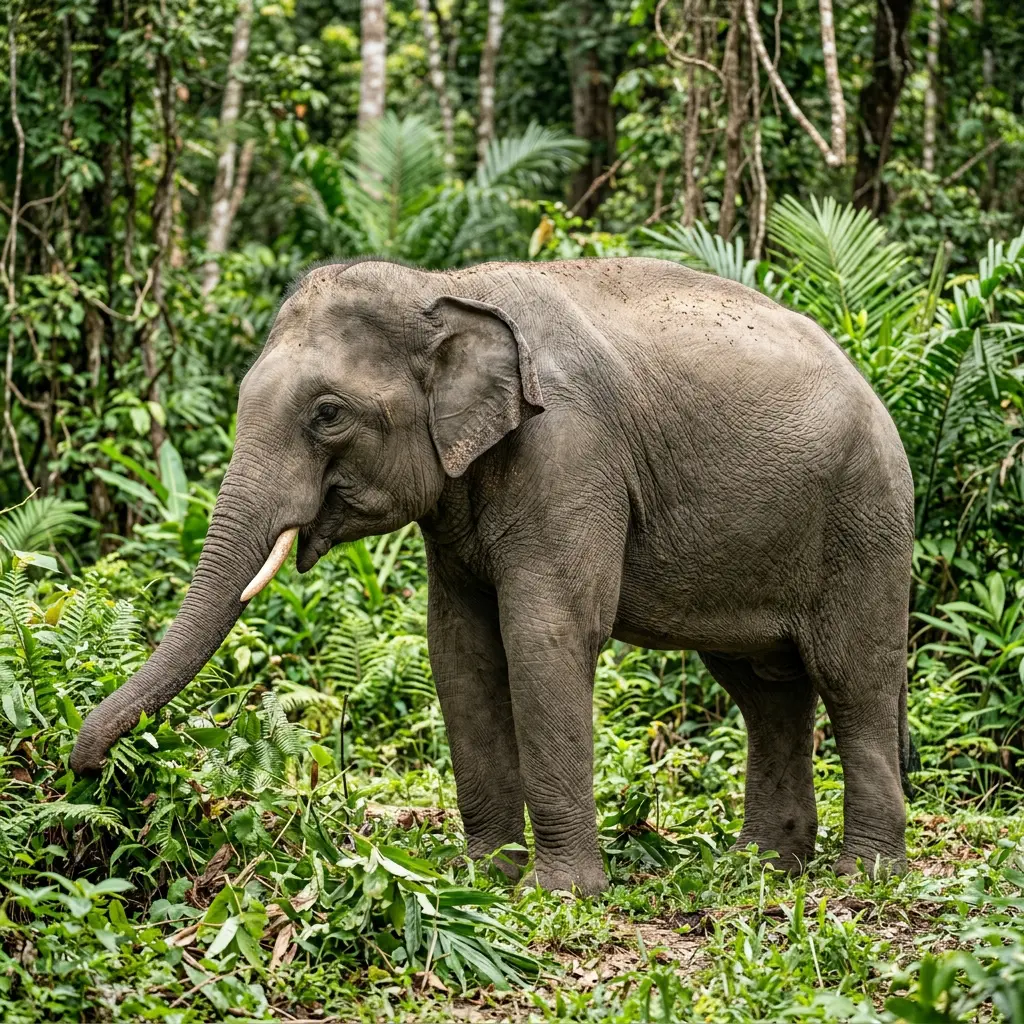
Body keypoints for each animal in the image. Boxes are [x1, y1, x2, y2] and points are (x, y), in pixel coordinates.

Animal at [71, 256, 915, 894]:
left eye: (328, 415)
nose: (86, 768)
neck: (444, 286)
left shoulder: (571, 451)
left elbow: (547, 635)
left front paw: (560, 894)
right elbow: (459, 649)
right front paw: (478, 876)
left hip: (866, 521)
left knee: (854, 678)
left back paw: (863, 876)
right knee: (765, 690)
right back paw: (764, 866)